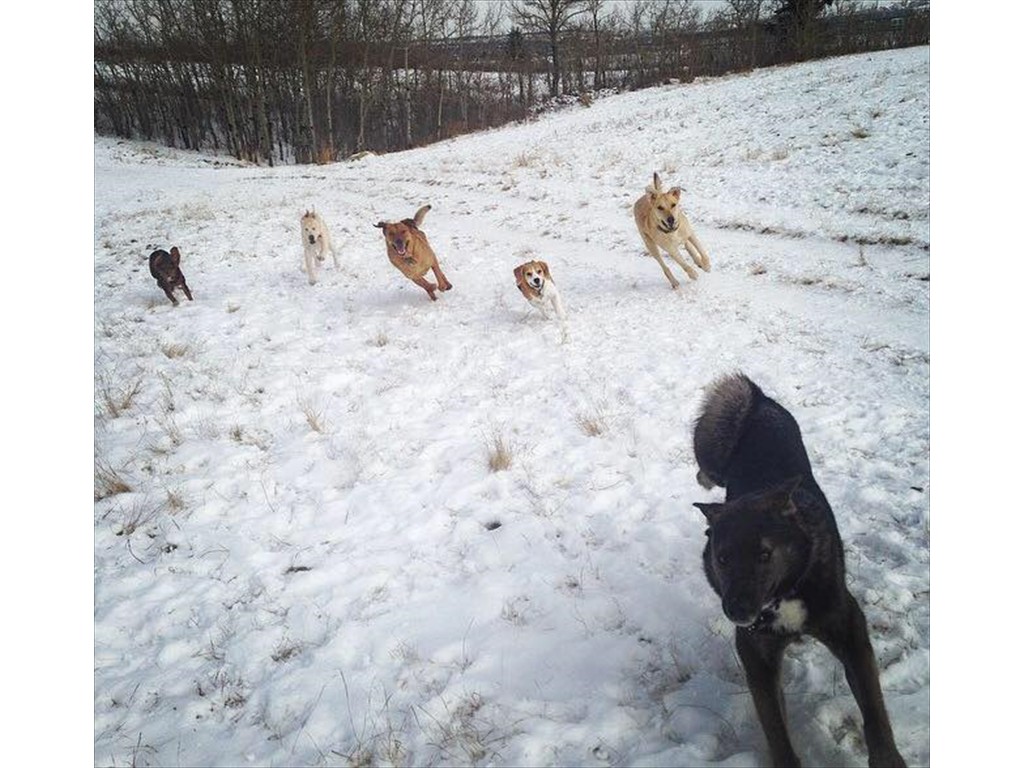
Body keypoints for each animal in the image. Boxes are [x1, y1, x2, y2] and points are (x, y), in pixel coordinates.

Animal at [692, 376, 909, 768]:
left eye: (765, 554)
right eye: (722, 559)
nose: (737, 611)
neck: (786, 592)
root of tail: (758, 398)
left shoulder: (850, 627)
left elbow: (873, 708)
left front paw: (887, 758)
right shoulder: (756, 653)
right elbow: (776, 729)